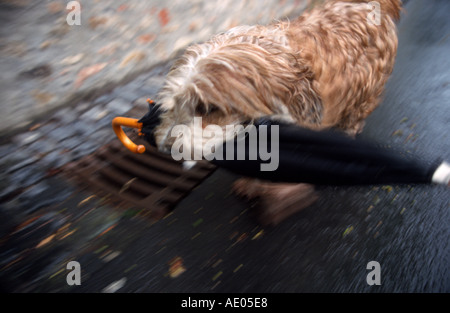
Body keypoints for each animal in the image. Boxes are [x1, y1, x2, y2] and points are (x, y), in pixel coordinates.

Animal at [153, 0, 402, 224]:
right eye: (174, 103)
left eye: (207, 108)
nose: (165, 147)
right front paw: (253, 184)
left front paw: (281, 196)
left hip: (365, 90)